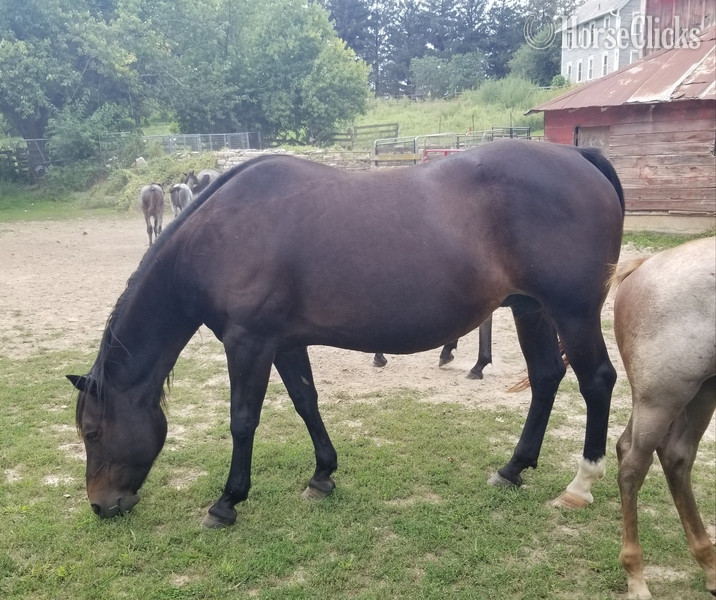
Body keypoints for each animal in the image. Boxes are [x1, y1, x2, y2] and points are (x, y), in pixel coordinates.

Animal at [67, 139, 625, 529]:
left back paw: (581, 483)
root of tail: (579, 157)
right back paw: (513, 468)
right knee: (547, 376)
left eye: (92, 432)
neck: (223, 235)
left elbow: (243, 420)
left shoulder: (248, 342)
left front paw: (227, 501)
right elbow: (305, 402)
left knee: (596, 380)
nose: (101, 505)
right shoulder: (284, 342)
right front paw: (322, 475)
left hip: (573, 312)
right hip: (532, 310)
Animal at [612, 237, 716, 600]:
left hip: (701, 390)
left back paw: (708, 564)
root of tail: (642, 267)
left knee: (674, 456)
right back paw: (636, 576)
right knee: (633, 465)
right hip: (662, 396)